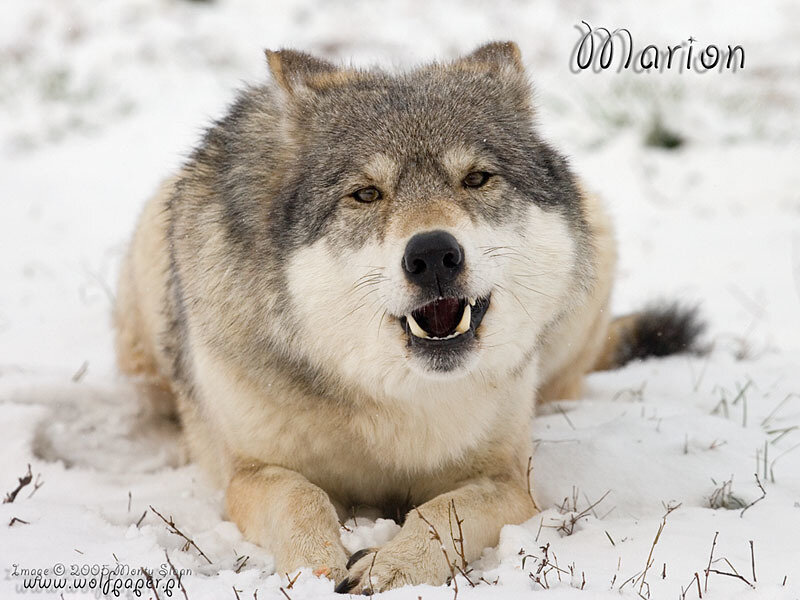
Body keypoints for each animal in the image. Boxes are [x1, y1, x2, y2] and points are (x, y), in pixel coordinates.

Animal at [114, 41, 702, 593]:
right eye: (366, 194)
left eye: (476, 179)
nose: (434, 255)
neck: (393, 399)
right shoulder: (249, 473)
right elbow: (301, 497)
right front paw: (315, 569)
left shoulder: (509, 481)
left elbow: (441, 513)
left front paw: (390, 567)